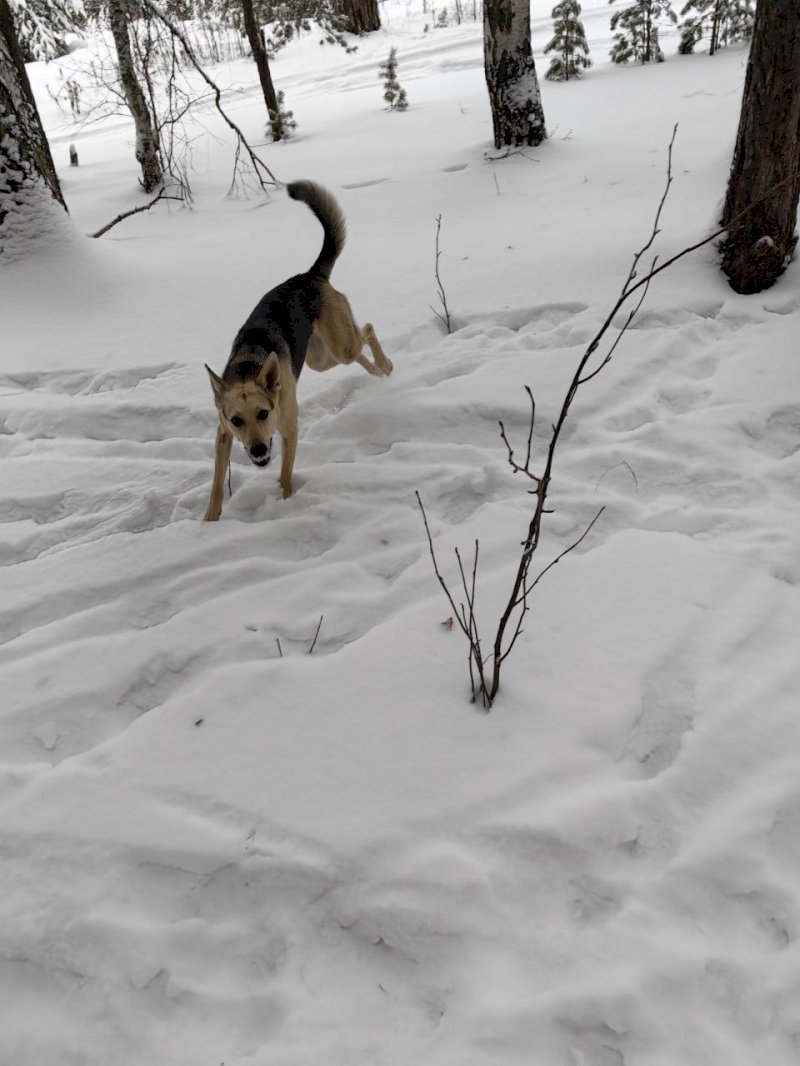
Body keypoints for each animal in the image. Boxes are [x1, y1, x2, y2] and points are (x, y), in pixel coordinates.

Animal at [203, 181, 394, 522]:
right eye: (236, 420)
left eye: (263, 413)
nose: (258, 451)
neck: (249, 364)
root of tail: (311, 275)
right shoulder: (222, 435)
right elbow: (215, 484)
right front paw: (208, 521)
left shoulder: (289, 428)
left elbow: (285, 474)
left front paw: (285, 501)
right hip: (320, 357)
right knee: (358, 348)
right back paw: (376, 369)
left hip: (338, 345)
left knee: (368, 330)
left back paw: (384, 365)